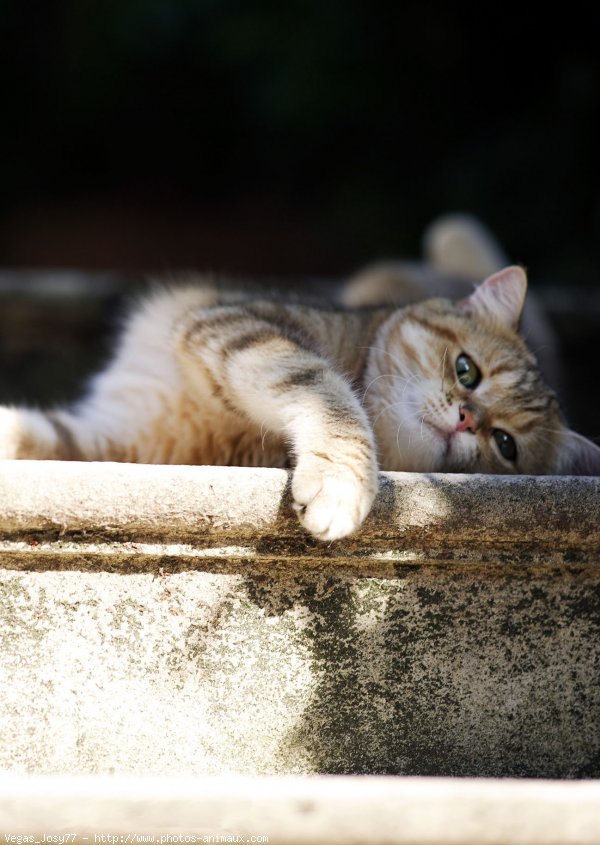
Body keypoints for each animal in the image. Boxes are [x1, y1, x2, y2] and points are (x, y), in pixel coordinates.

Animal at [1, 218, 600, 540]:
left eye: (506, 445)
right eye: (466, 370)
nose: (466, 420)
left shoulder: (137, 435)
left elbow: (330, 399)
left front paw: (342, 484)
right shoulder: (235, 332)